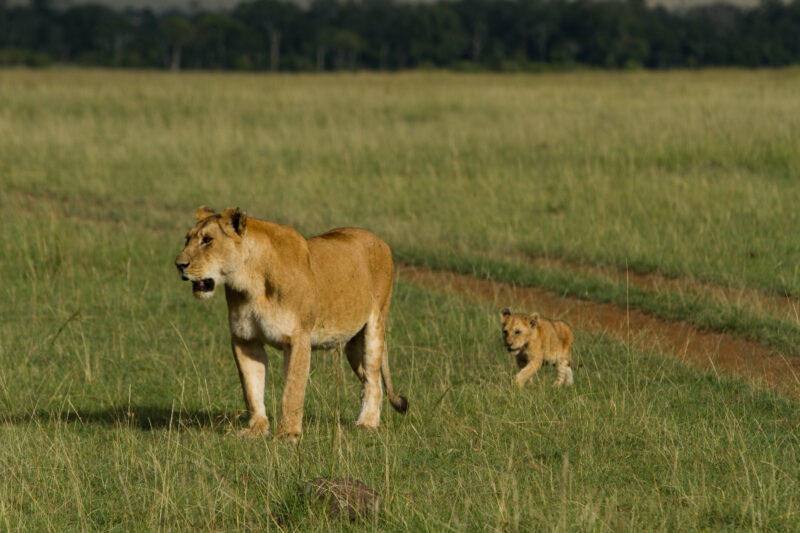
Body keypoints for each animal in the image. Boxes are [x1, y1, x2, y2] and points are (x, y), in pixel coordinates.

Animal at [175, 206, 408, 440]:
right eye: (187, 239)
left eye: (207, 240)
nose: (179, 265)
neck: (250, 282)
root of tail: (379, 240)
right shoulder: (245, 339)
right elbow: (251, 387)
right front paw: (256, 429)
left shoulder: (298, 338)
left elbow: (292, 389)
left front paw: (288, 434)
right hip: (353, 345)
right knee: (371, 377)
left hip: (375, 325)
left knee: (373, 380)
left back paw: (367, 423)